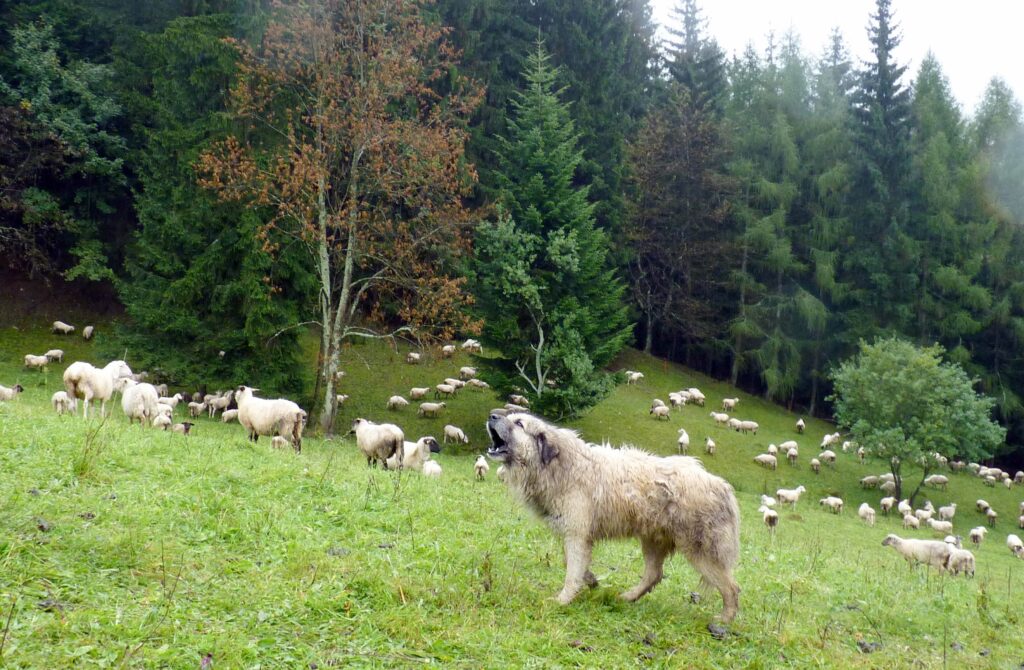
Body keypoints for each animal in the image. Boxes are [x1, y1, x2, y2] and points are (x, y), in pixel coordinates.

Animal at [485, 413, 737, 622]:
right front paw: (590, 580)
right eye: (508, 415)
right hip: (653, 540)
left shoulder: (576, 535)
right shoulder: (574, 535)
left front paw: (562, 601)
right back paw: (628, 597)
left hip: (700, 553)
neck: (560, 466)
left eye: (519, 423)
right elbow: (574, 565)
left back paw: (723, 621)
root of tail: (723, 486)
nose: (493, 415)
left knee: (732, 588)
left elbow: (571, 573)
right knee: (654, 575)